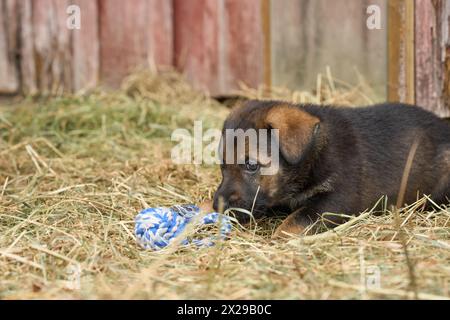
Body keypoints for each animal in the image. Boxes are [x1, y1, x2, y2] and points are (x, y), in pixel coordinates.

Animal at [213, 100, 450, 238]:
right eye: (222, 165)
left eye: (251, 165)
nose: (219, 206)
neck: (312, 156)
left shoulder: (336, 201)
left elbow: (293, 222)